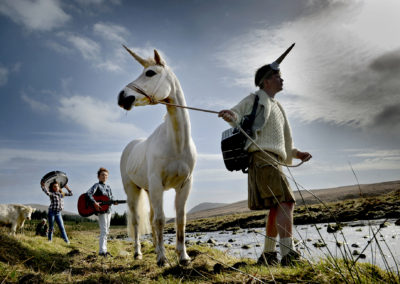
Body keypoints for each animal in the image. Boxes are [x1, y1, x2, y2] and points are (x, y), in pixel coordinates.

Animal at [117, 46, 197, 266]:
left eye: (150, 73)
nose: (122, 96)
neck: (176, 144)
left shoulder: (184, 185)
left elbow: (180, 219)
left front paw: (183, 256)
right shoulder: (156, 184)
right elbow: (160, 219)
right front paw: (162, 259)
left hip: (149, 190)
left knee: (152, 216)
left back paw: (154, 247)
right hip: (133, 191)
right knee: (137, 221)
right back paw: (138, 252)